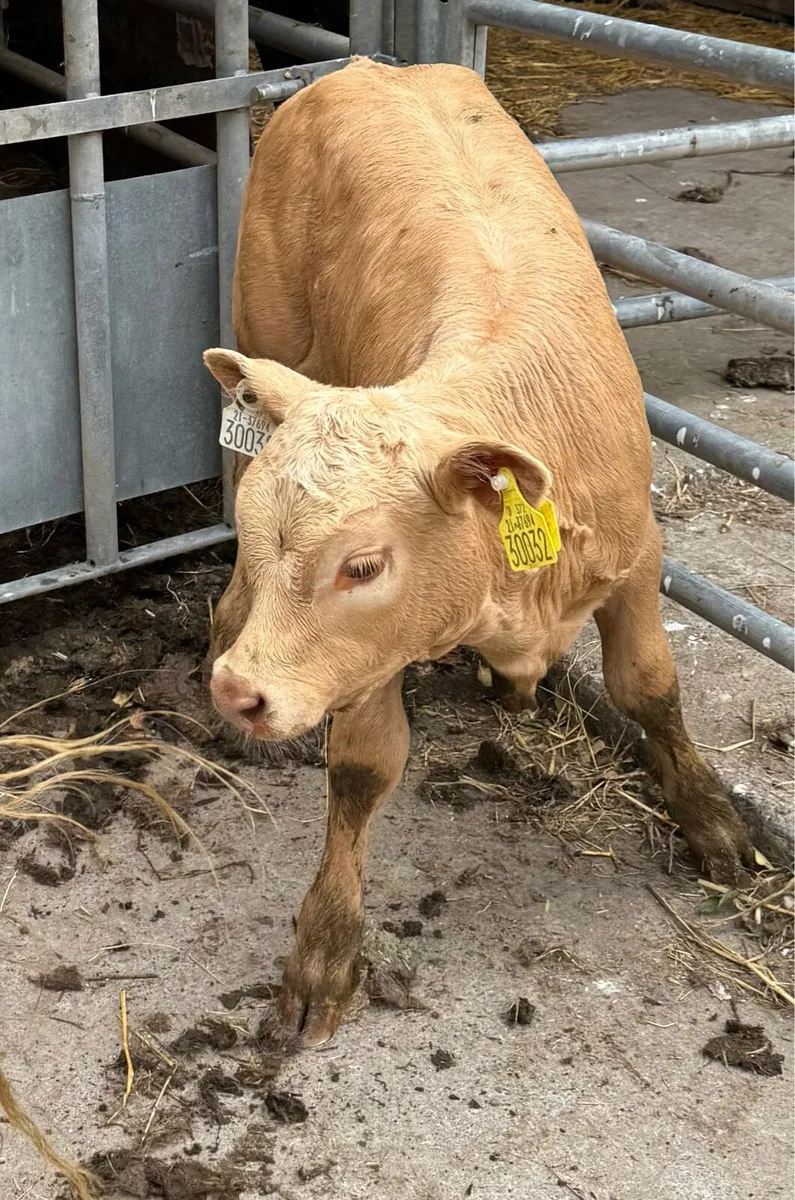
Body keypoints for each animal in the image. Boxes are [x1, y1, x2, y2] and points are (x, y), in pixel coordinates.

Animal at [203, 58, 754, 1046]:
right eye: (267, 542)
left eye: (363, 564)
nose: (238, 691)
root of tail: (360, 68)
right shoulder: (371, 658)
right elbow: (362, 768)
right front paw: (325, 950)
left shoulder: (638, 557)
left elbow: (648, 687)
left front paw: (709, 819)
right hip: (263, 331)